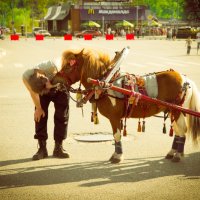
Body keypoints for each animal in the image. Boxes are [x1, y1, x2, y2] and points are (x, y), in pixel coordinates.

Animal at [52, 48, 200, 162]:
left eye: (68, 66)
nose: (54, 79)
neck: (105, 82)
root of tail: (185, 79)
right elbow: (115, 136)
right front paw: (116, 154)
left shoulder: (114, 117)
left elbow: (117, 135)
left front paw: (117, 156)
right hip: (172, 110)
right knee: (178, 130)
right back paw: (172, 152)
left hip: (177, 110)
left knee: (182, 130)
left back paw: (178, 154)